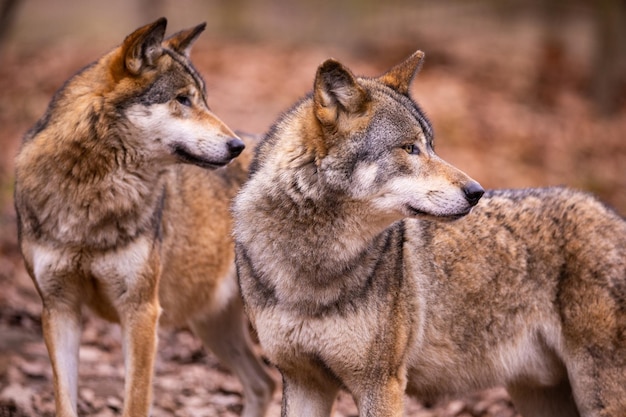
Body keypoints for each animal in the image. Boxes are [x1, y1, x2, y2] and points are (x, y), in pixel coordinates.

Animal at [13, 17, 272, 416]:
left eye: (204, 99)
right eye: (183, 99)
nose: (236, 146)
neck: (94, 192)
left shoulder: (141, 311)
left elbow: (135, 400)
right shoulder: (58, 309)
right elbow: (64, 402)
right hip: (212, 325)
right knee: (263, 383)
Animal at [233, 51, 624, 416]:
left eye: (431, 146)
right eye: (410, 148)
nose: (476, 192)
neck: (310, 263)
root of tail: (612, 215)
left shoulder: (381, 384)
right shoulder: (302, 381)